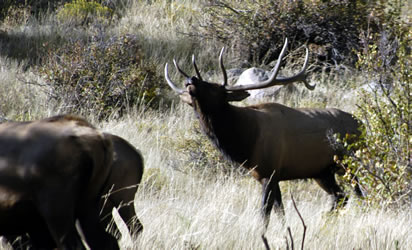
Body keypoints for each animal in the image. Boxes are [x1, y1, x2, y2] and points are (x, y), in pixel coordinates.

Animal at [164, 38, 364, 227]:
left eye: (214, 87)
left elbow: (264, 214)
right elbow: (280, 211)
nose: (190, 79)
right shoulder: (265, 176)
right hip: (323, 172)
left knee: (359, 194)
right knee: (341, 196)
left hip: (350, 162)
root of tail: (361, 124)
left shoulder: (270, 171)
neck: (245, 140)